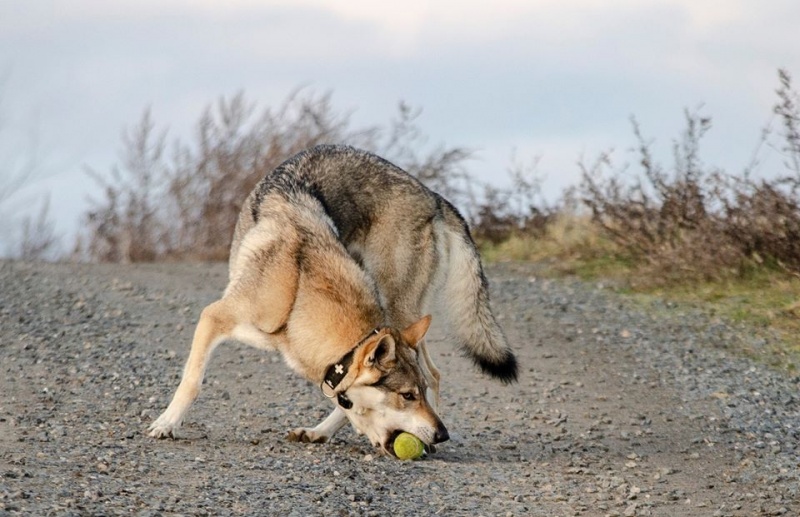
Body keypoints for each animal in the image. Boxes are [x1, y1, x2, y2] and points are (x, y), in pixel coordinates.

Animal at [148, 143, 520, 454]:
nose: (442, 435)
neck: (296, 295)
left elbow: (192, 381)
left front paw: (166, 423)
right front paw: (167, 423)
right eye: (408, 396)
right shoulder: (215, 317)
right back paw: (319, 433)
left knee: (436, 373)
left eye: (417, 395)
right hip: (404, 318)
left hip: (398, 309)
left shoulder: (214, 317)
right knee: (434, 372)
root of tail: (435, 197)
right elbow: (192, 381)